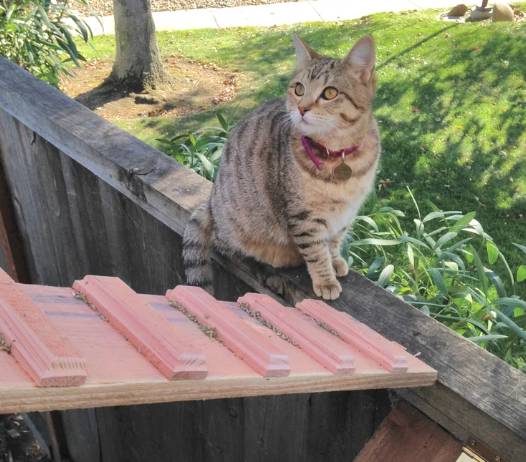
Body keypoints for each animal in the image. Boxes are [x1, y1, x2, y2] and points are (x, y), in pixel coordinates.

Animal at [184, 33, 382, 300]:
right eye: (299, 89)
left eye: (330, 92)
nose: (302, 108)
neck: (338, 156)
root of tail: (211, 205)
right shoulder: (303, 217)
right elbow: (316, 251)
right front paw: (325, 279)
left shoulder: (346, 213)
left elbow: (334, 241)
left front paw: (335, 261)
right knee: (223, 244)